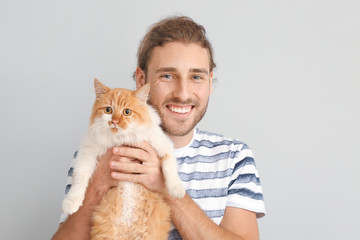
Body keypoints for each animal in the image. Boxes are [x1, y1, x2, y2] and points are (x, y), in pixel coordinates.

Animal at [61, 79, 184, 240]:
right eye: (108, 110)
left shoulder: (164, 146)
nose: (114, 121)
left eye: (127, 112)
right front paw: (70, 204)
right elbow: (79, 181)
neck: (120, 138)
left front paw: (177, 190)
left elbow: (170, 168)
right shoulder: (86, 154)